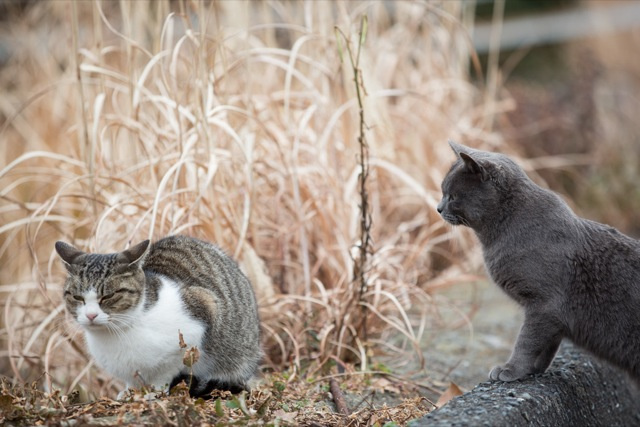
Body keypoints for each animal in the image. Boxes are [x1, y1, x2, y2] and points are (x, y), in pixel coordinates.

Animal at [55, 234, 262, 398]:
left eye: (108, 296)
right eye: (77, 297)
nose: (90, 315)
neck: (117, 333)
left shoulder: (201, 315)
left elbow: (164, 374)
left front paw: (153, 393)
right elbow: (132, 380)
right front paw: (129, 393)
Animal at [438, 143, 640, 384]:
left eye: (452, 196)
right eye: (443, 193)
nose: (438, 208)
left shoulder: (544, 305)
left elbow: (526, 341)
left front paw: (510, 369)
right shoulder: (550, 315)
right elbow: (546, 346)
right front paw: (533, 370)